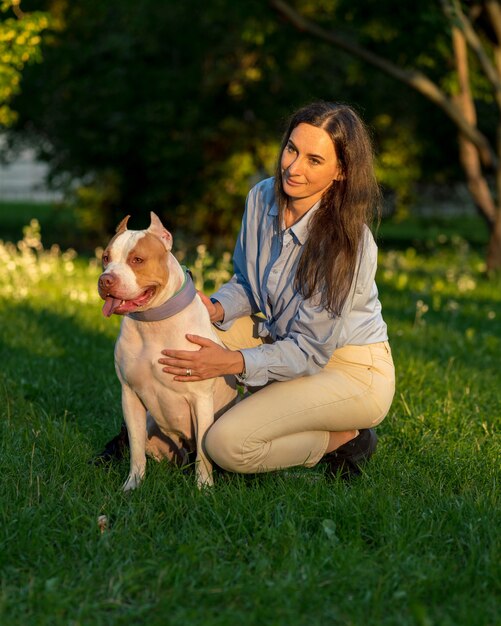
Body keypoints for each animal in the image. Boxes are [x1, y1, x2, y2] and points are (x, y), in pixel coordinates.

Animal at [99, 212, 238, 490]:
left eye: (137, 260)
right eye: (106, 258)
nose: (105, 280)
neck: (153, 322)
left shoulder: (201, 399)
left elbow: (204, 455)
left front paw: (203, 489)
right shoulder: (129, 395)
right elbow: (136, 450)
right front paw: (132, 485)